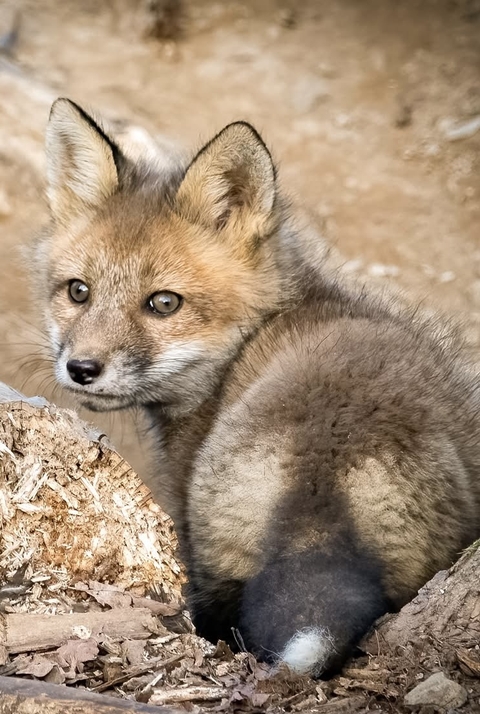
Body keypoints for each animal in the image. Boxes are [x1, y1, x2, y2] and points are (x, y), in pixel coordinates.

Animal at [31, 97, 480, 678]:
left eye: (164, 303)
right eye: (78, 292)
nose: (82, 368)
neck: (263, 327)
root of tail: (326, 466)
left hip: (210, 567)